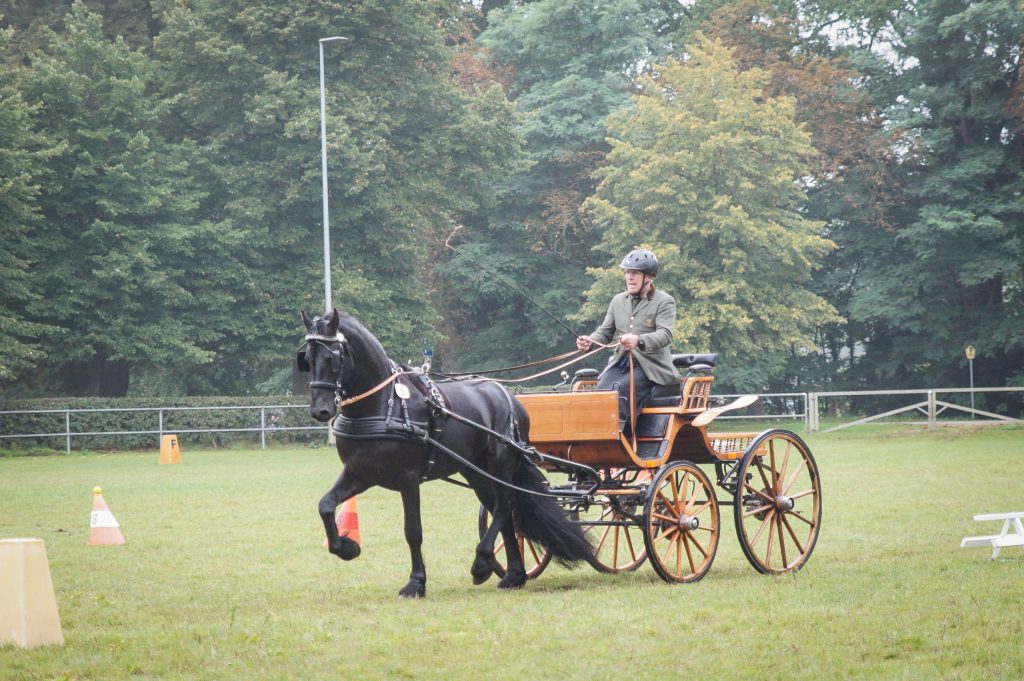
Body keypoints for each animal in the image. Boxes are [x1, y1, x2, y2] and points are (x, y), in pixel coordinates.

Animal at [299, 307, 593, 593]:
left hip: (500, 466)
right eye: (307, 359)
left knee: (503, 508)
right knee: (505, 514)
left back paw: (482, 564)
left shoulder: (407, 478)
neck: (383, 404)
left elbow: (413, 531)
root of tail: (510, 397)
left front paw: (416, 582)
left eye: (333, 357)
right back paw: (513, 576)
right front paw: (347, 548)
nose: (320, 410)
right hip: (477, 473)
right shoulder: (359, 473)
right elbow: (326, 505)